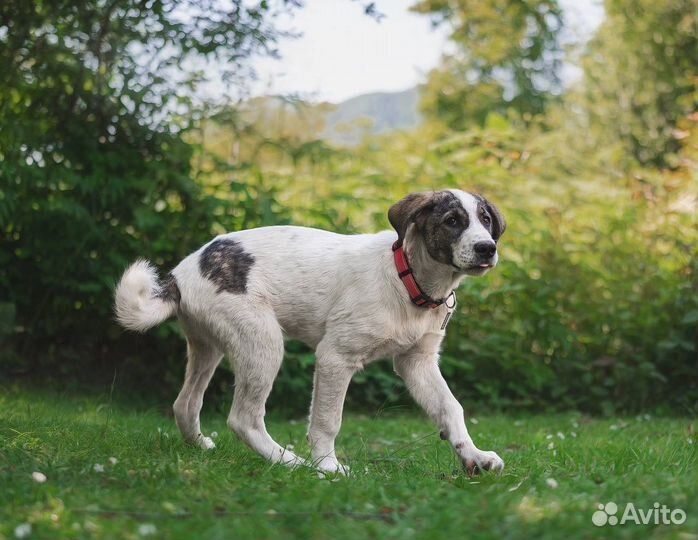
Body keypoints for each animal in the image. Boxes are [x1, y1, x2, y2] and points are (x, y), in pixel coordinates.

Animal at [114, 191, 506, 476]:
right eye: (452, 221)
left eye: (486, 220)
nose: (488, 248)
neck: (407, 277)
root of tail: (181, 273)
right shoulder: (336, 356)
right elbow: (327, 420)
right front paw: (327, 466)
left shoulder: (418, 362)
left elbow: (451, 407)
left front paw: (474, 456)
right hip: (262, 342)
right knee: (243, 419)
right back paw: (292, 463)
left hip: (209, 346)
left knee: (186, 403)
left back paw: (199, 445)